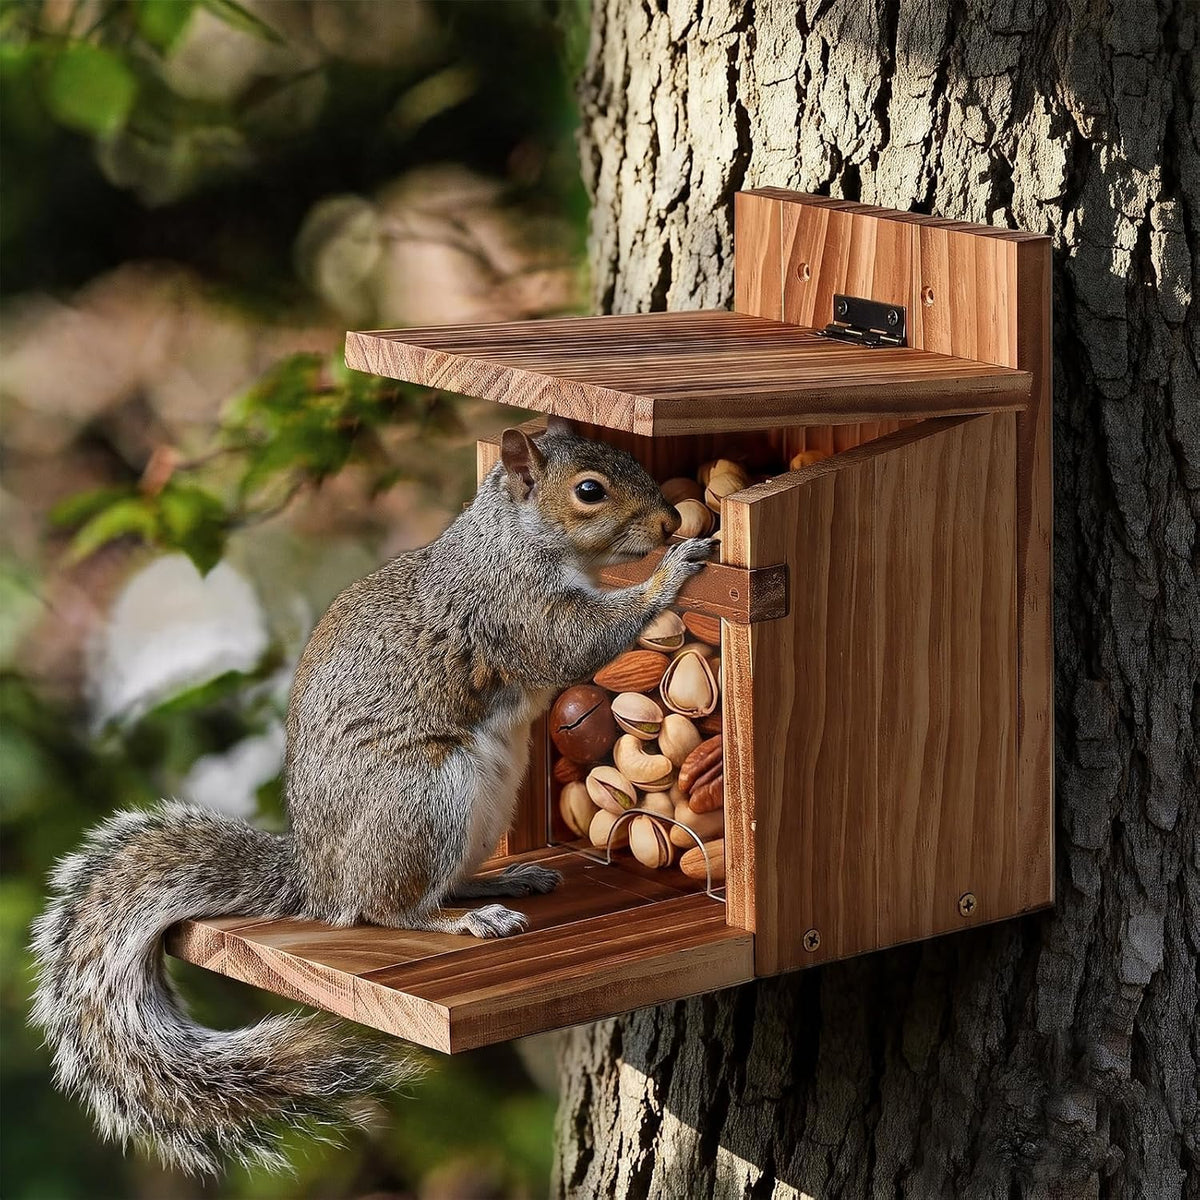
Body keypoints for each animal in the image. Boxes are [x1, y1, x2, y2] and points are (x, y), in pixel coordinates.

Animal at [30, 417, 714, 1176]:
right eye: (589, 491)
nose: (668, 520)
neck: (516, 538)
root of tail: (319, 878)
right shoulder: (510, 607)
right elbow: (573, 643)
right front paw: (672, 573)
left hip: (485, 800)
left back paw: (500, 882)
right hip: (424, 796)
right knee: (389, 908)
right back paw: (463, 922)